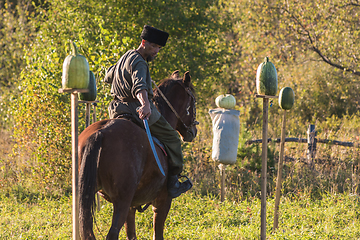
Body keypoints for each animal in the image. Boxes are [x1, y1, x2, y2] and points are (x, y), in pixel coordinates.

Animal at [77, 70, 198, 239]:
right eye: (193, 101)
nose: (193, 131)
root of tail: (100, 133)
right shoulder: (162, 203)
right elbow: (157, 234)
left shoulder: (131, 207)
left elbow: (131, 234)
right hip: (122, 201)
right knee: (112, 233)